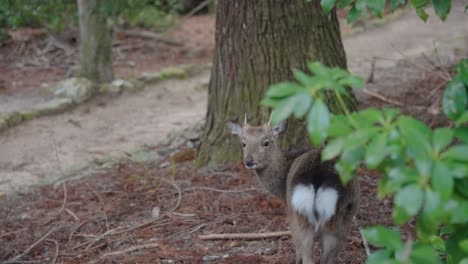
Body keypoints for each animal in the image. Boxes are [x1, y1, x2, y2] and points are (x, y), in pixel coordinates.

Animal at [228, 117, 362, 264]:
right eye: (243, 143)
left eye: (266, 143)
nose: (249, 161)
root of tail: (318, 177)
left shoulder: (289, 208)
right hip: (338, 216)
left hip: (299, 211)